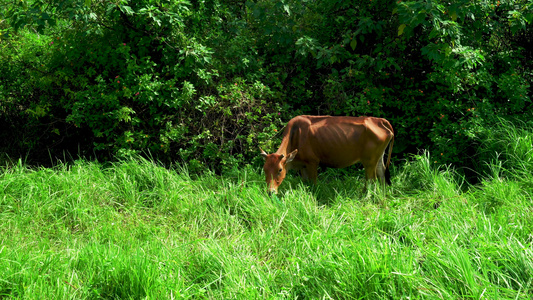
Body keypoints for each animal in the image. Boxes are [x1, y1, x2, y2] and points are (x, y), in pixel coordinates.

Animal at [260, 115, 392, 195]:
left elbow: (313, 184)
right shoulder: (303, 165)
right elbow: (305, 183)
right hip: (378, 158)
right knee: (382, 176)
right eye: (264, 169)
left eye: (280, 170)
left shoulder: (312, 162)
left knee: (371, 180)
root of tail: (380, 120)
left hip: (369, 161)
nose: (270, 192)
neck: (296, 135)